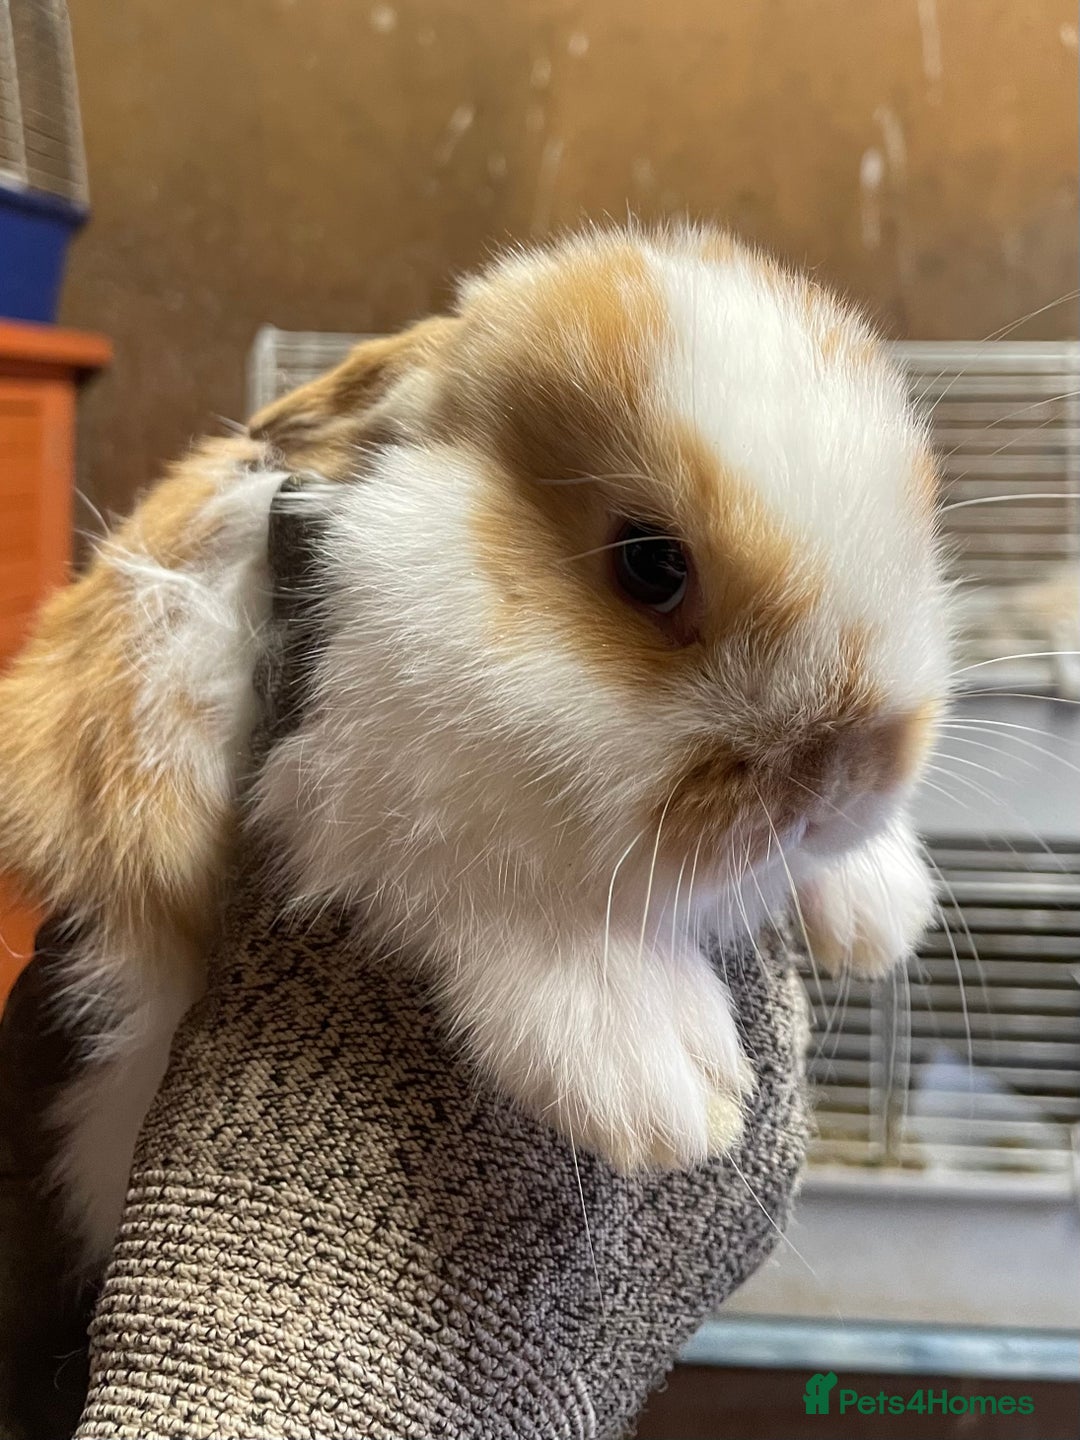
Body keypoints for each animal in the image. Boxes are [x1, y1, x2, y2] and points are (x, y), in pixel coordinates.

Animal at [0, 224, 948, 1278]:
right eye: (651, 565)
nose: (845, 774)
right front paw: (663, 1085)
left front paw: (877, 908)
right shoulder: (357, 794)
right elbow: (488, 887)